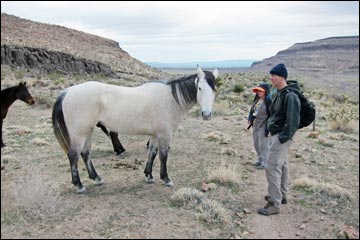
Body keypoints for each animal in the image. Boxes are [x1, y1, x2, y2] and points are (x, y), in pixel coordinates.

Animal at [52, 66, 218, 193]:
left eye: (214, 90)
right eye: (200, 88)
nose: (206, 114)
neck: (170, 99)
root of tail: (67, 92)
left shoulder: (155, 135)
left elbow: (152, 153)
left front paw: (149, 176)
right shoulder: (164, 134)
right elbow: (163, 156)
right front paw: (165, 178)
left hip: (89, 130)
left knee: (85, 154)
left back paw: (97, 179)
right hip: (79, 133)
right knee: (73, 155)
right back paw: (79, 185)